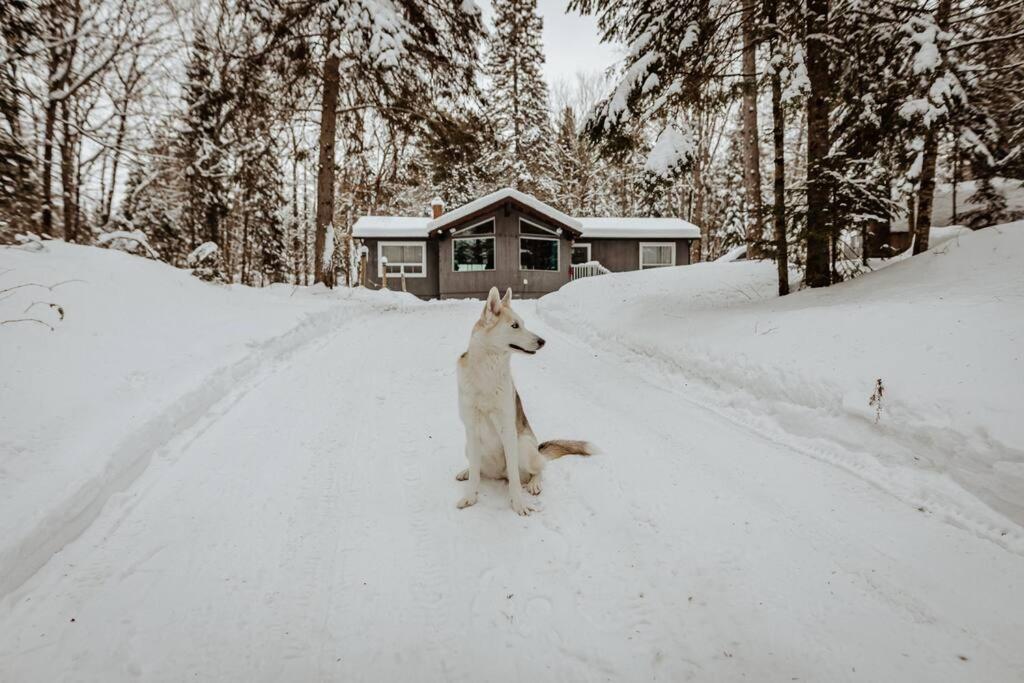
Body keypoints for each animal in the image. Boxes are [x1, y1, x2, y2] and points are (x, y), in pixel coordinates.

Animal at [454, 286, 593, 516]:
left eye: (523, 324)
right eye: (514, 325)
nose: (542, 341)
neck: (487, 373)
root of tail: (499, 473)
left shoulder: (508, 431)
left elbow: (515, 481)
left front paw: (518, 504)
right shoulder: (471, 429)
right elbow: (475, 475)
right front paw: (470, 497)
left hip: (523, 445)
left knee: (537, 469)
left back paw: (535, 484)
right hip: (469, 446)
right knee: (481, 470)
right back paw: (466, 471)